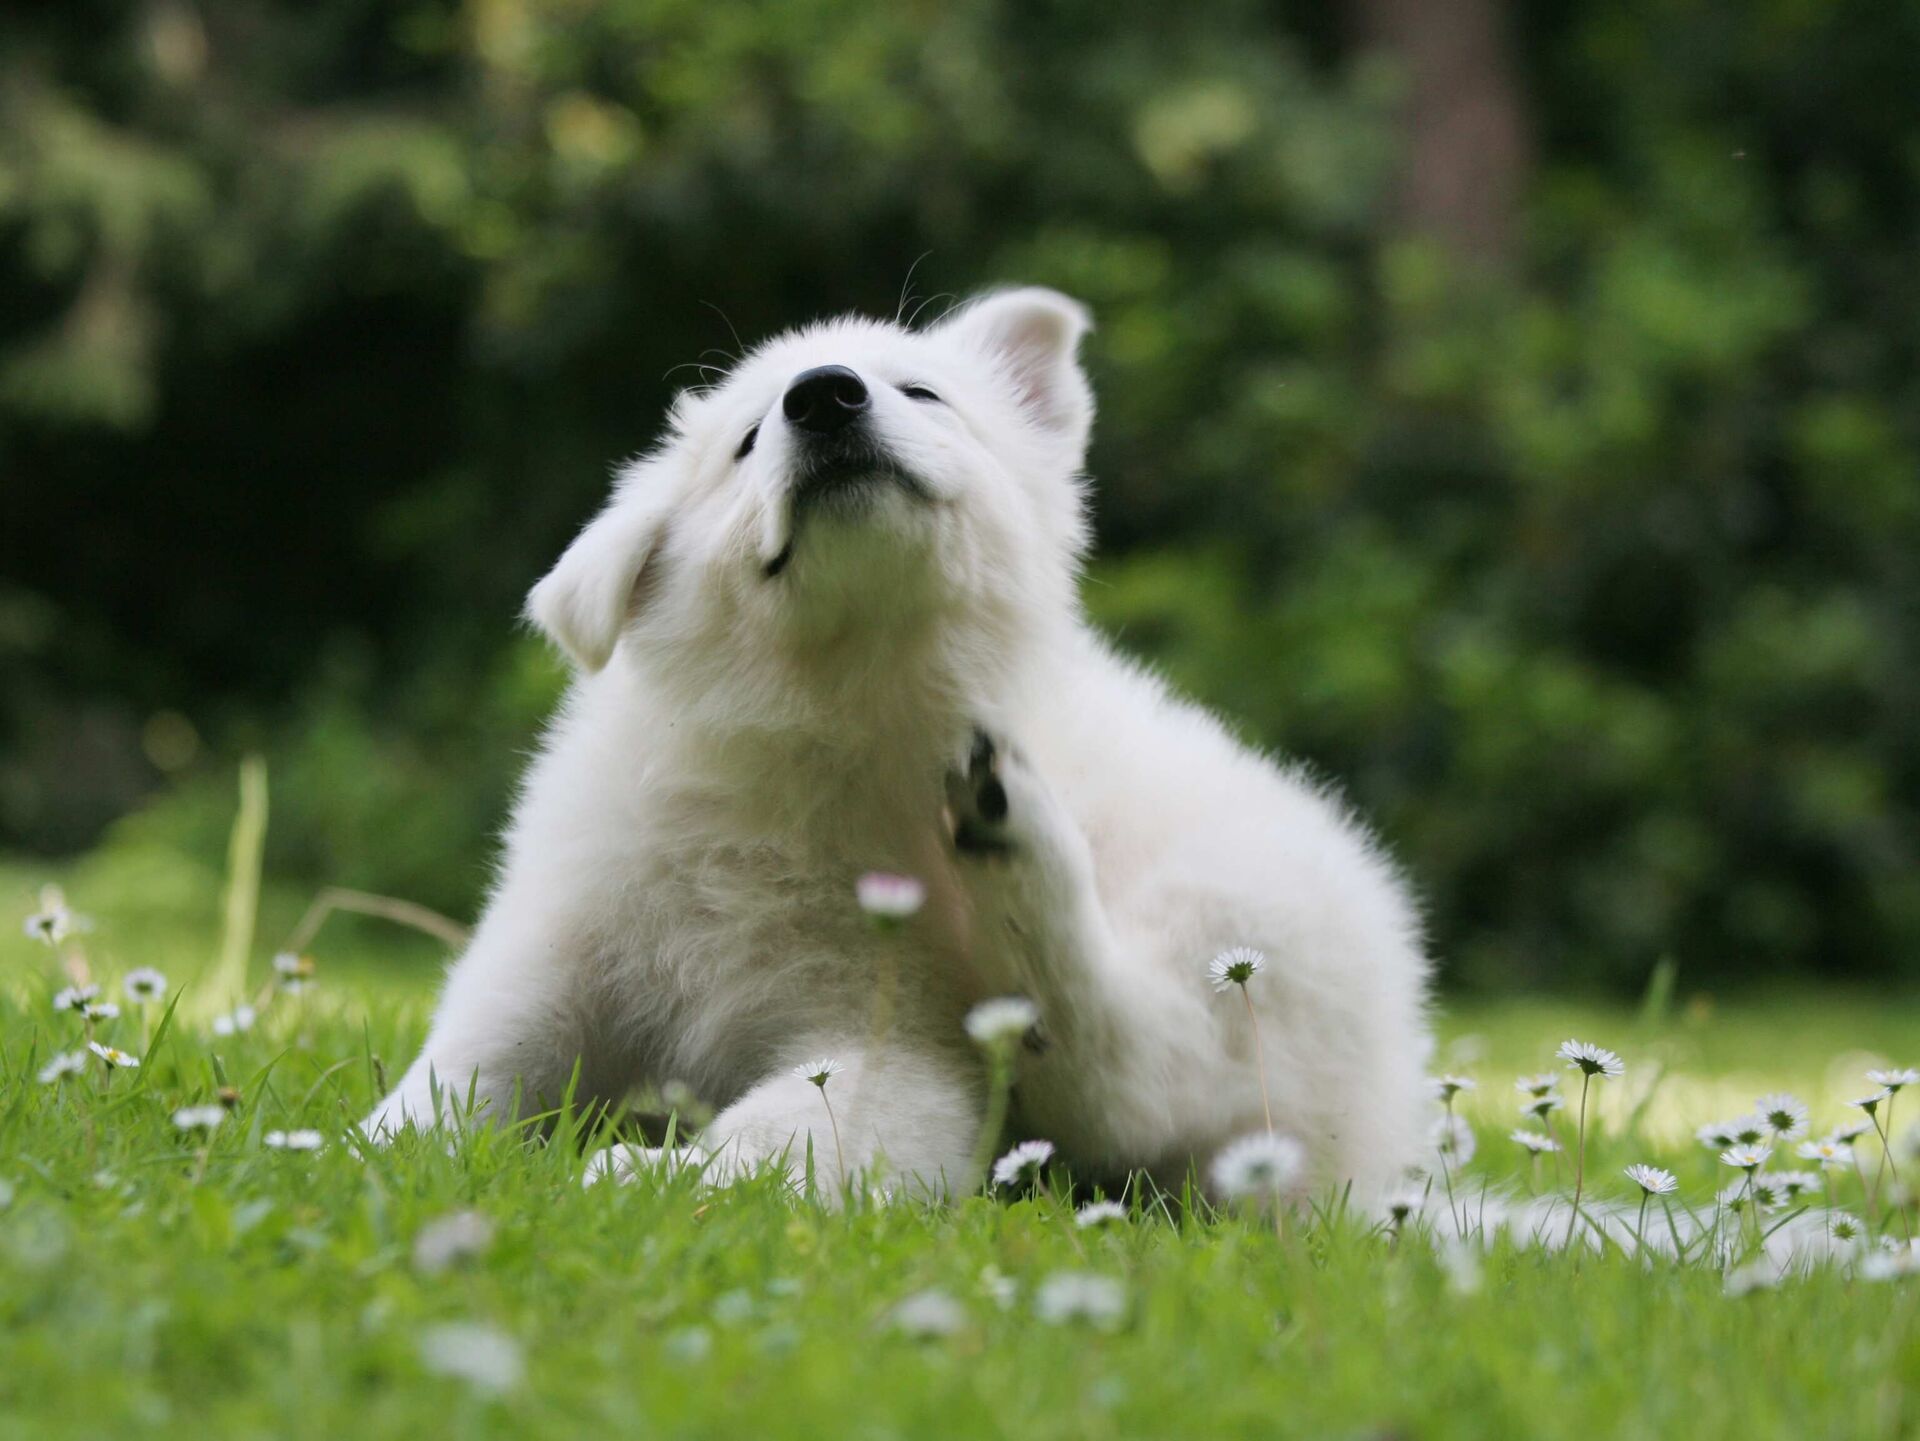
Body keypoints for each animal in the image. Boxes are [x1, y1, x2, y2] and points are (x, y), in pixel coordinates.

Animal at [366, 287, 1436, 1197]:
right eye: (746, 441)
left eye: (923, 391)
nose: (824, 397)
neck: (831, 718)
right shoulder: (567, 934)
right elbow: (469, 1062)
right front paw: (371, 1149)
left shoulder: (897, 1040)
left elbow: (787, 1133)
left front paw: (646, 1177)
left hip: (1245, 926)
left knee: (1136, 1070)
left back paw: (1016, 834)